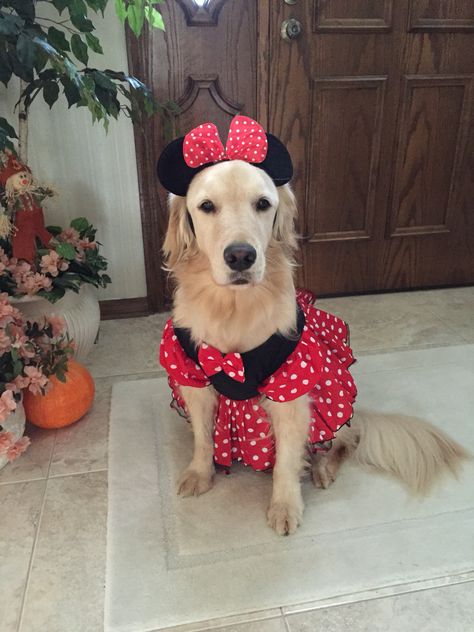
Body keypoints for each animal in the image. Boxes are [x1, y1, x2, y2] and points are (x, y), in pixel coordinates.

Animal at [158, 123, 466, 532]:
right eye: (207, 206)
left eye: (263, 204)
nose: (241, 256)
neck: (234, 307)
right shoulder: (194, 378)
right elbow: (203, 437)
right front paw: (199, 473)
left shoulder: (291, 390)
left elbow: (287, 462)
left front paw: (285, 506)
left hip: (334, 410)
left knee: (343, 442)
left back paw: (322, 468)